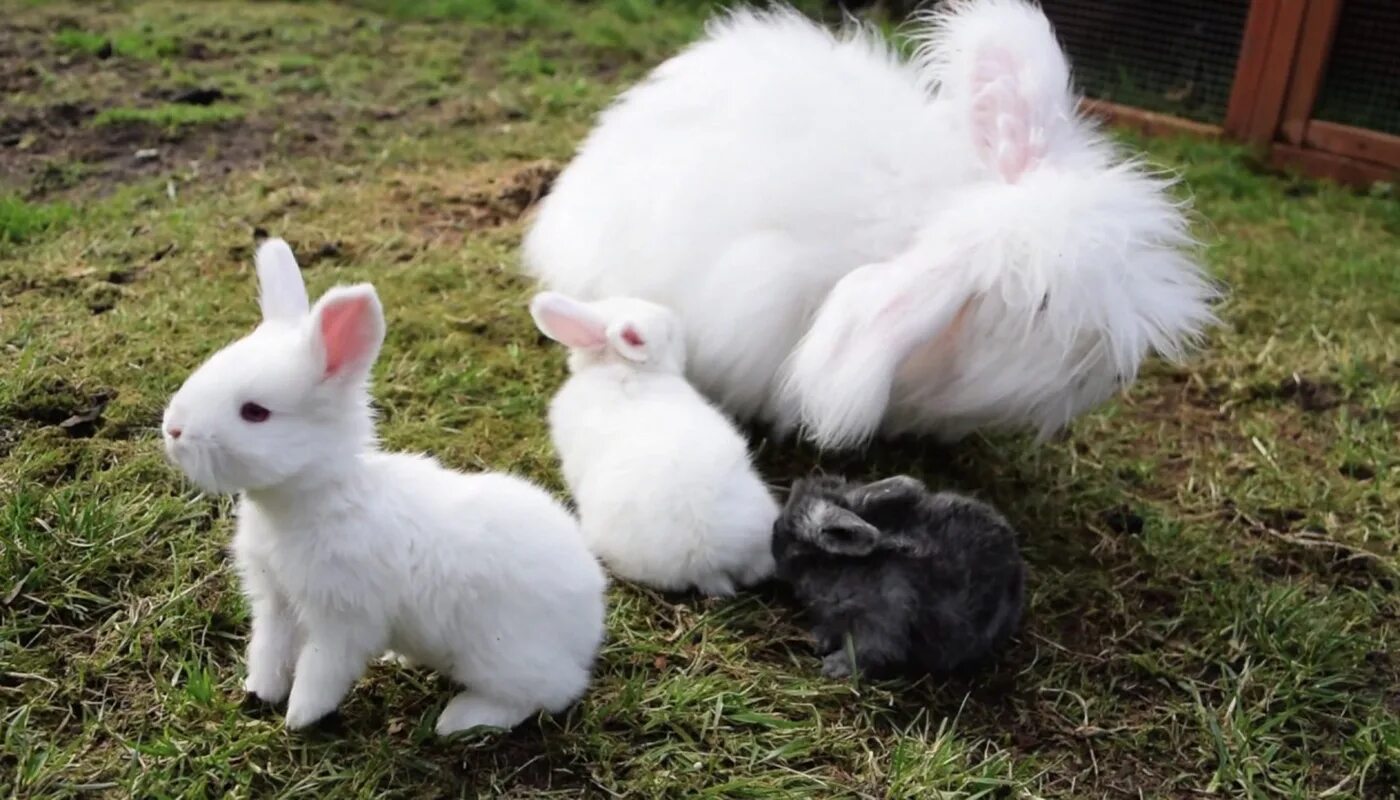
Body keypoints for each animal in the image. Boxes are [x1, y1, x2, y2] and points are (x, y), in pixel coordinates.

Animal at [772, 476, 1024, 683]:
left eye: (792, 535)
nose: (774, 542)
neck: (844, 568)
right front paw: (816, 639)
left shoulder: (882, 626)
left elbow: (868, 652)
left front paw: (834, 668)